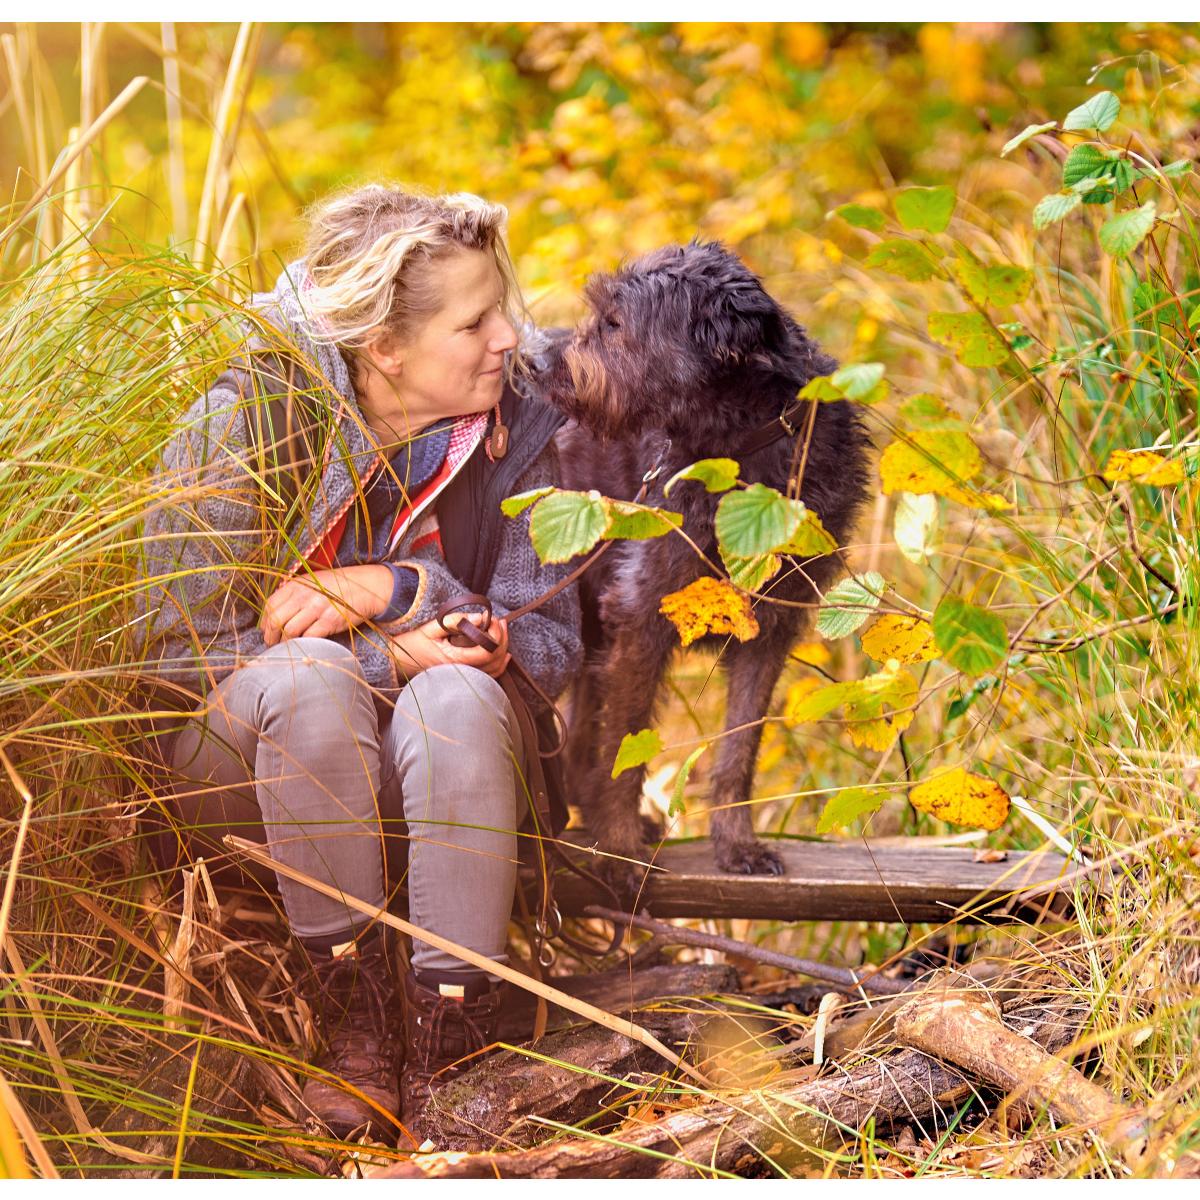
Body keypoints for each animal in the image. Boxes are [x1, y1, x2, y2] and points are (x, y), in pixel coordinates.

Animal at [540, 241, 868, 902]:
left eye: (614, 323)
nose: (534, 363)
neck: (737, 455)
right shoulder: (641, 615)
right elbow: (623, 749)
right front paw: (620, 851)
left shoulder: (769, 628)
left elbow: (738, 749)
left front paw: (736, 845)